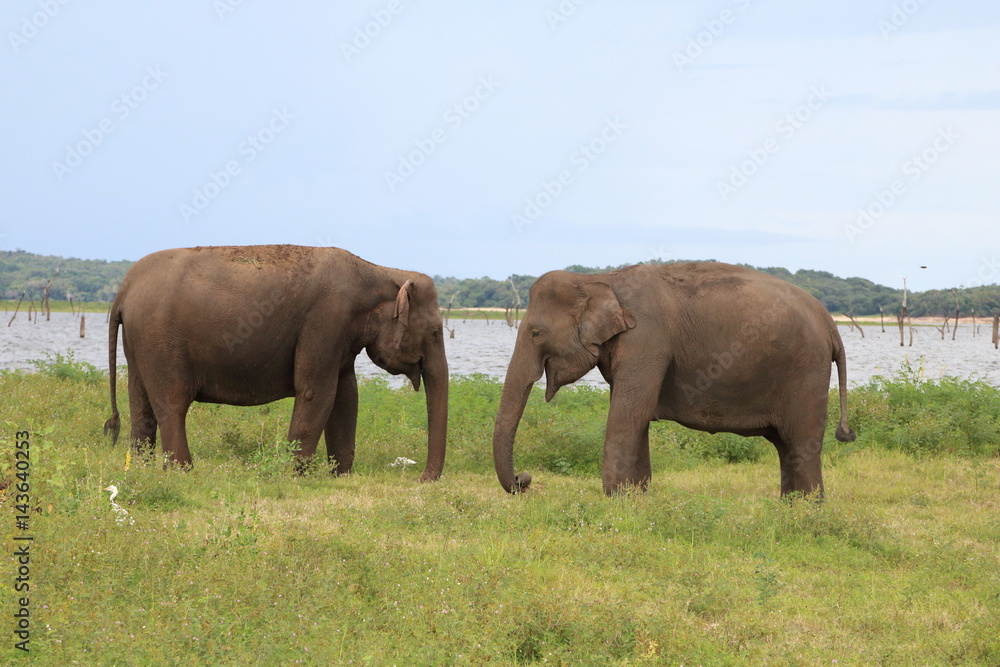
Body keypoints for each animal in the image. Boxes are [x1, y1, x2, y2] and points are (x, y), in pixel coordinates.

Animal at [103, 245, 448, 480]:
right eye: (435, 332)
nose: (420, 479)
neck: (381, 271)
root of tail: (123, 290)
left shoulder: (339, 335)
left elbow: (346, 396)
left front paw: (341, 476)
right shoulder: (326, 321)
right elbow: (316, 392)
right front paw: (294, 475)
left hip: (139, 343)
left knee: (141, 404)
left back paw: (142, 470)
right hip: (161, 342)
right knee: (171, 404)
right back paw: (184, 472)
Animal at [492, 260, 852, 496]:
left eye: (535, 333)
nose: (524, 480)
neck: (599, 279)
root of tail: (831, 326)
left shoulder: (647, 339)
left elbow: (629, 410)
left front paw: (615, 498)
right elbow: (635, 414)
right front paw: (636, 496)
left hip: (806, 371)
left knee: (801, 442)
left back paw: (808, 510)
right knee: (785, 445)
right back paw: (791, 506)